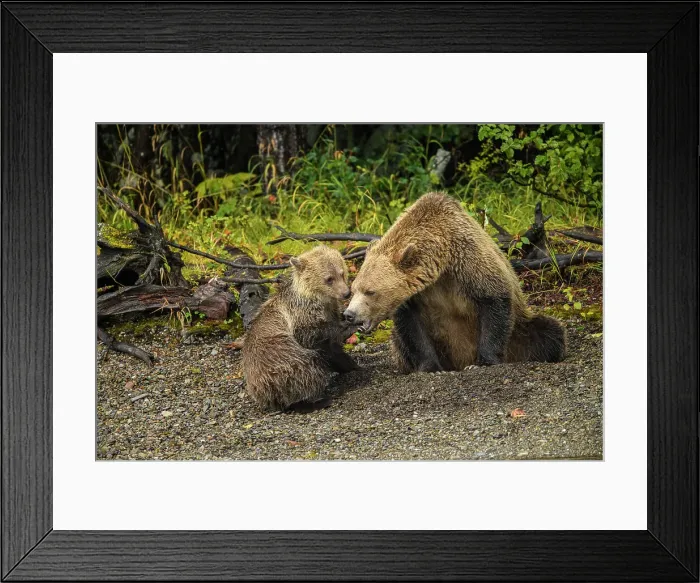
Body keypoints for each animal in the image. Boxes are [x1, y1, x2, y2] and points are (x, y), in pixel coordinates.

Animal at [242, 245, 359, 411]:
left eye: (342, 273)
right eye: (329, 279)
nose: (346, 293)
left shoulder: (330, 310)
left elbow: (333, 349)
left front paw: (350, 364)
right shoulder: (301, 318)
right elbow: (318, 335)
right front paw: (348, 326)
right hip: (281, 362)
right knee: (307, 369)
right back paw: (317, 399)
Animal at [343, 191, 566, 372]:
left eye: (370, 291)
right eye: (353, 290)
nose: (349, 314)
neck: (441, 261)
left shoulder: (468, 260)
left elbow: (493, 297)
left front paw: (482, 362)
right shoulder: (417, 295)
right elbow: (412, 330)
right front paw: (430, 367)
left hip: (519, 332)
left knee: (548, 332)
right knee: (399, 344)